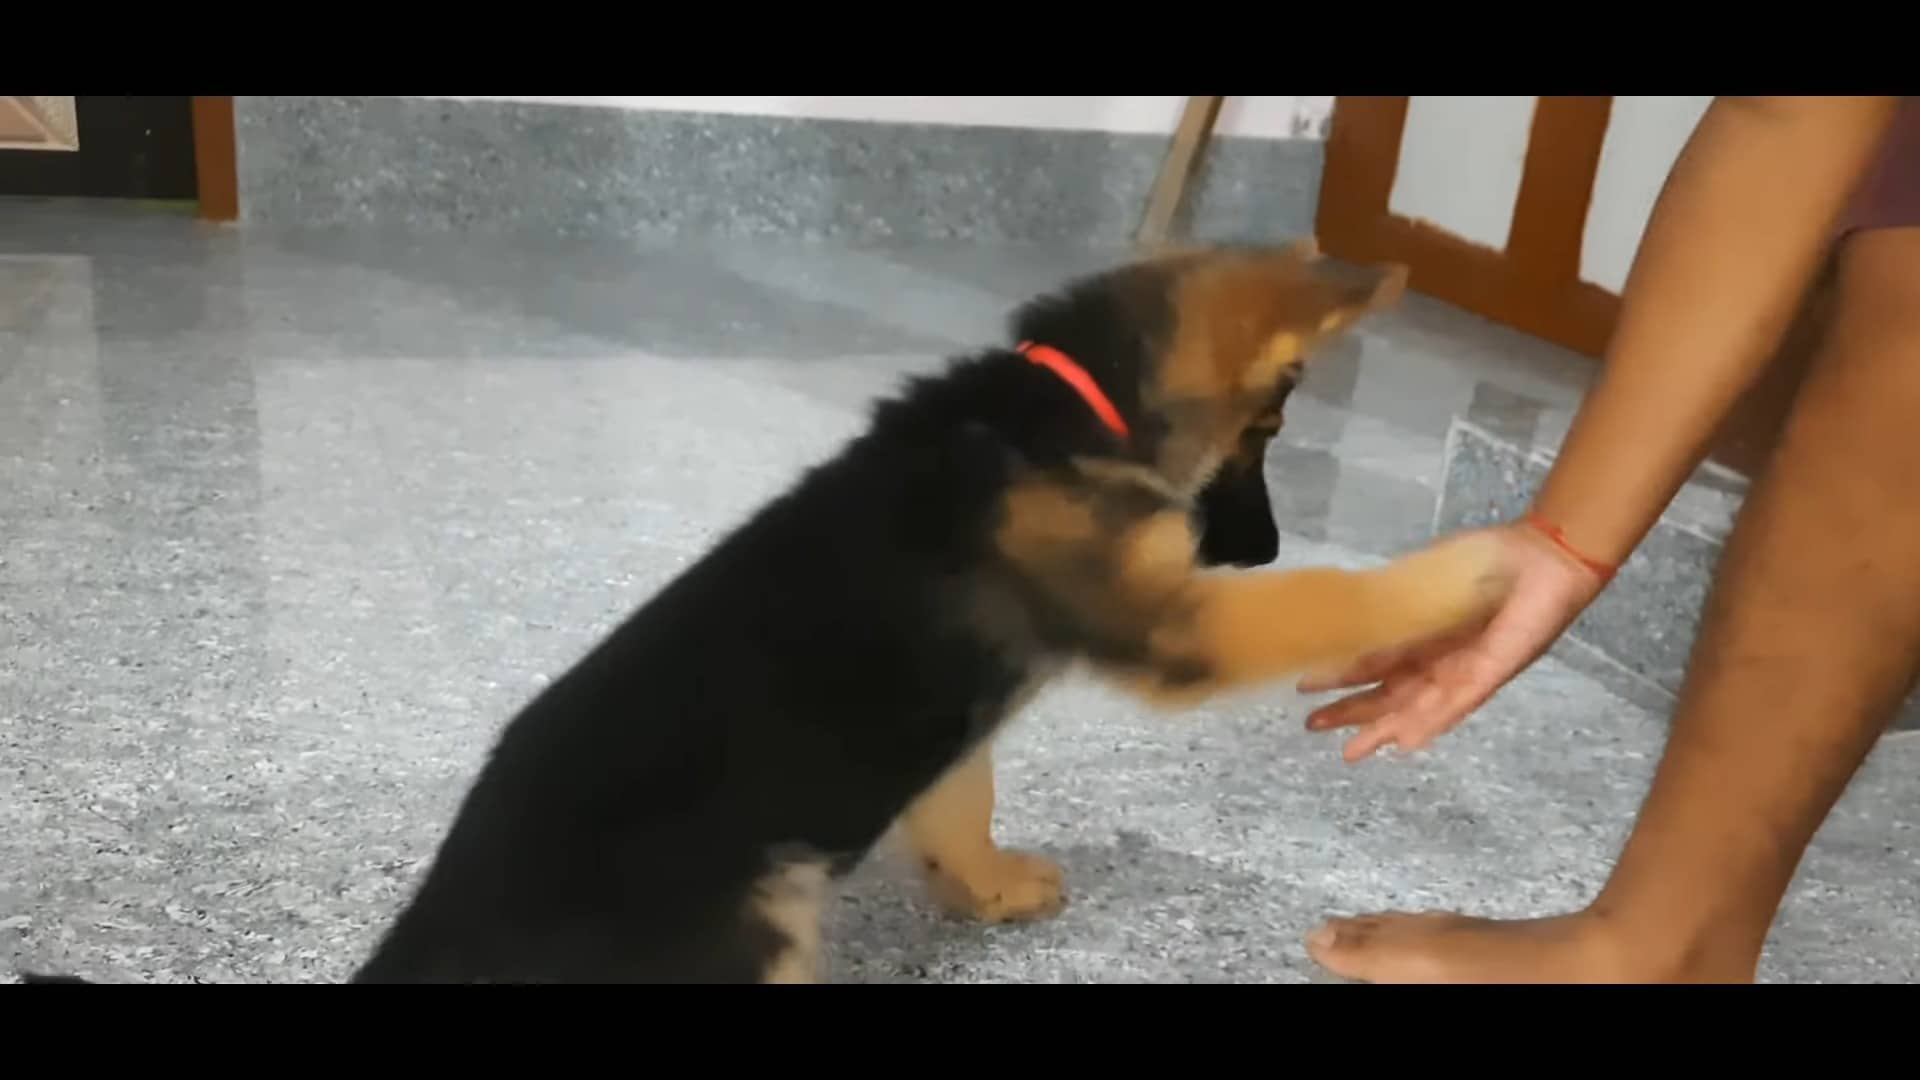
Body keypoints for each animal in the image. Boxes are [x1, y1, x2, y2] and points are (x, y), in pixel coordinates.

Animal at [18, 239, 1512, 980]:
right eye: (1268, 431)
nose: (1257, 546)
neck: (1057, 408)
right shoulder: (1171, 624)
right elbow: (1328, 603)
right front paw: (1470, 572)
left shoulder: (959, 716)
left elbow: (959, 802)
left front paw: (986, 886)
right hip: (760, 925)